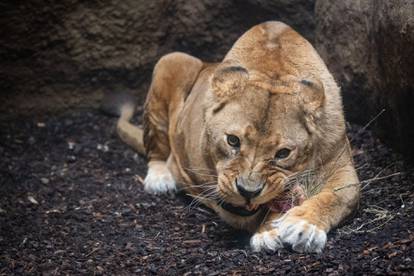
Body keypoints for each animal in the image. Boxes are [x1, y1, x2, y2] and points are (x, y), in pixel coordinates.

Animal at [113, 22, 360, 253]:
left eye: (283, 153)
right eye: (233, 140)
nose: (248, 192)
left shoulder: (342, 166)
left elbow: (335, 197)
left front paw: (304, 227)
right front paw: (269, 232)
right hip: (172, 60)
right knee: (156, 148)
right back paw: (160, 179)